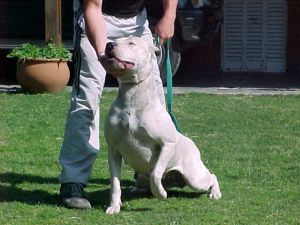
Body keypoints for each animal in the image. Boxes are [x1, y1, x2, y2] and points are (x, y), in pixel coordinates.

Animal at [102, 37, 221, 214]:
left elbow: (156, 172)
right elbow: (115, 183)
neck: (133, 96)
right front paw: (114, 206)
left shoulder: (167, 144)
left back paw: (215, 193)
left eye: (131, 43)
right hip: (144, 177)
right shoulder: (113, 149)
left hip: (195, 176)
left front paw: (160, 193)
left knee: (212, 176)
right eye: (114, 40)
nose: (109, 44)